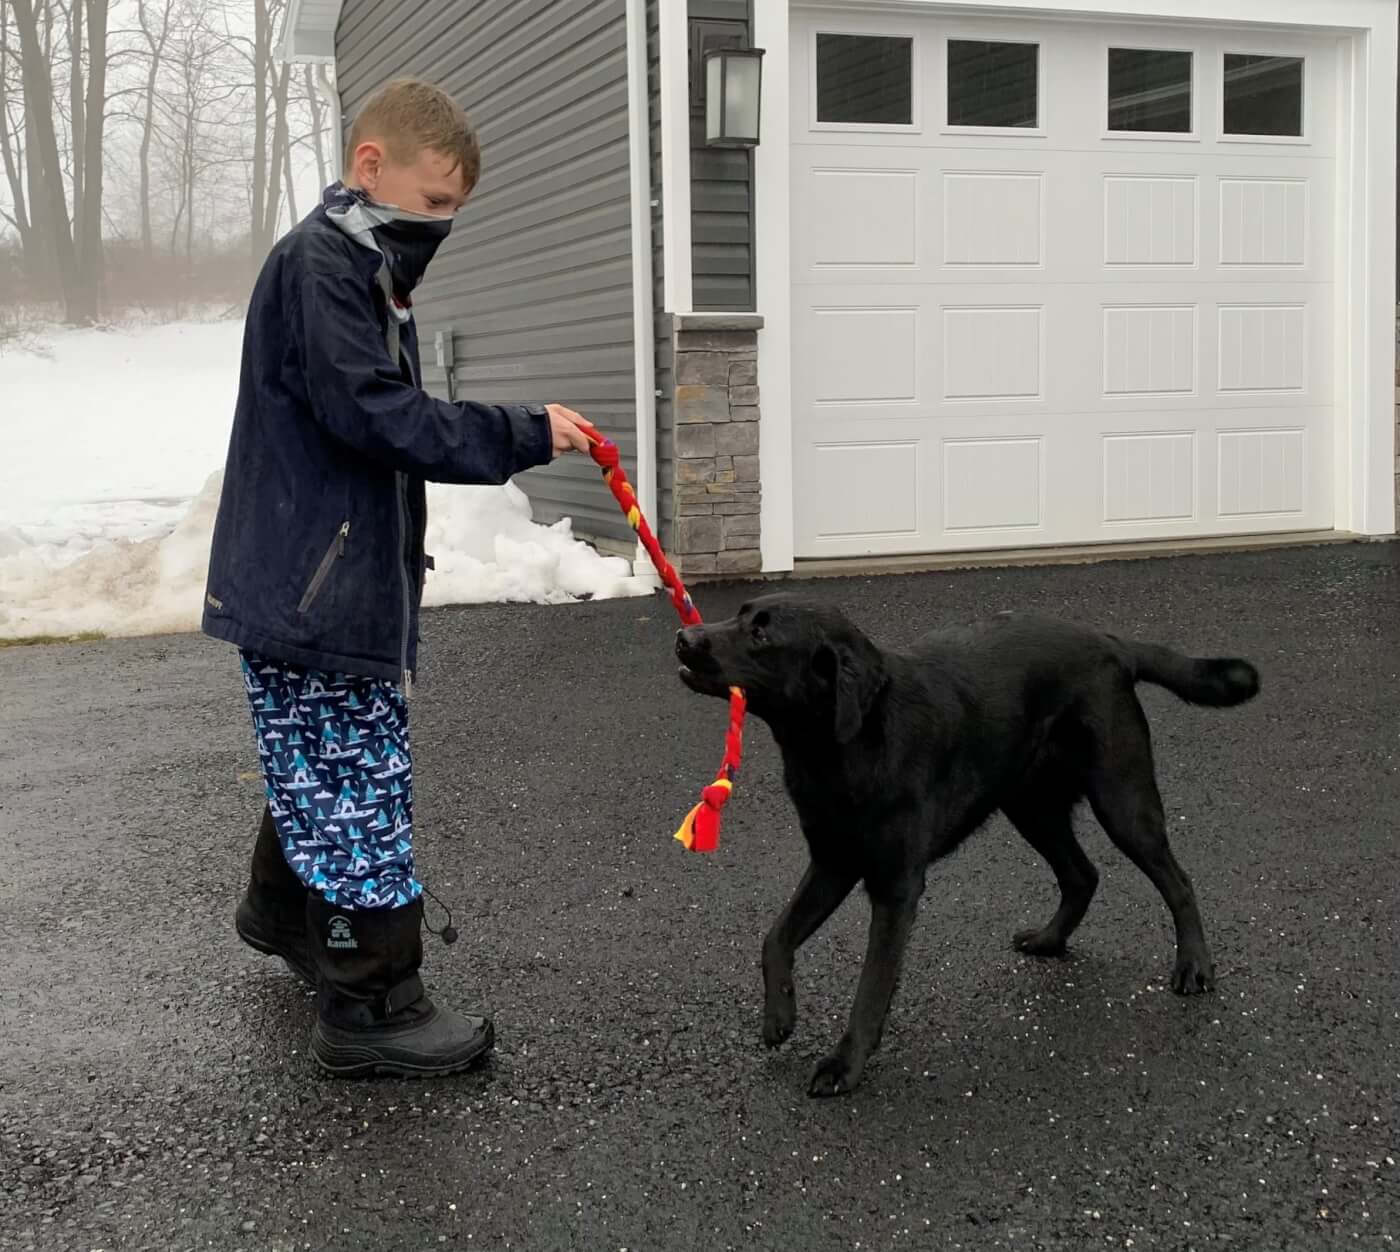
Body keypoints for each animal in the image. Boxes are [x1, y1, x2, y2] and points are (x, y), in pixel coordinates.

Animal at [672, 599, 1265, 1097]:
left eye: (762, 634)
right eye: (741, 614)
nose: (683, 635)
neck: (843, 744)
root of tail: (1110, 641)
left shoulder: (896, 886)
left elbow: (871, 987)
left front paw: (845, 1064)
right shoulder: (832, 862)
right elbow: (774, 937)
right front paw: (780, 1016)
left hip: (1121, 798)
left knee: (1176, 879)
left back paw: (1194, 967)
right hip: (1030, 806)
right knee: (1082, 874)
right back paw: (1049, 939)